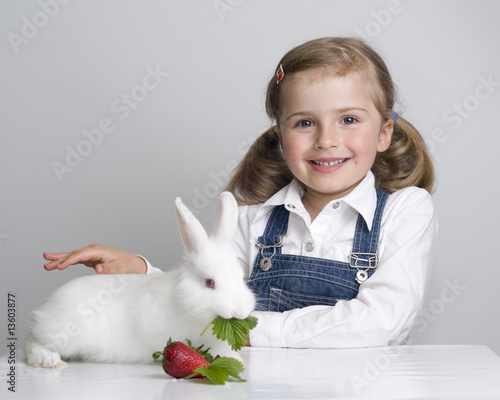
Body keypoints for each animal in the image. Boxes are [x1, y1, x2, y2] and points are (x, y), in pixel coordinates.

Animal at [25, 191, 256, 368]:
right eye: (209, 283)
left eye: (240, 278)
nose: (238, 311)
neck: (183, 301)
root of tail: (45, 308)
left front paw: (235, 359)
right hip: (62, 335)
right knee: (30, 343)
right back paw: (49, 360)